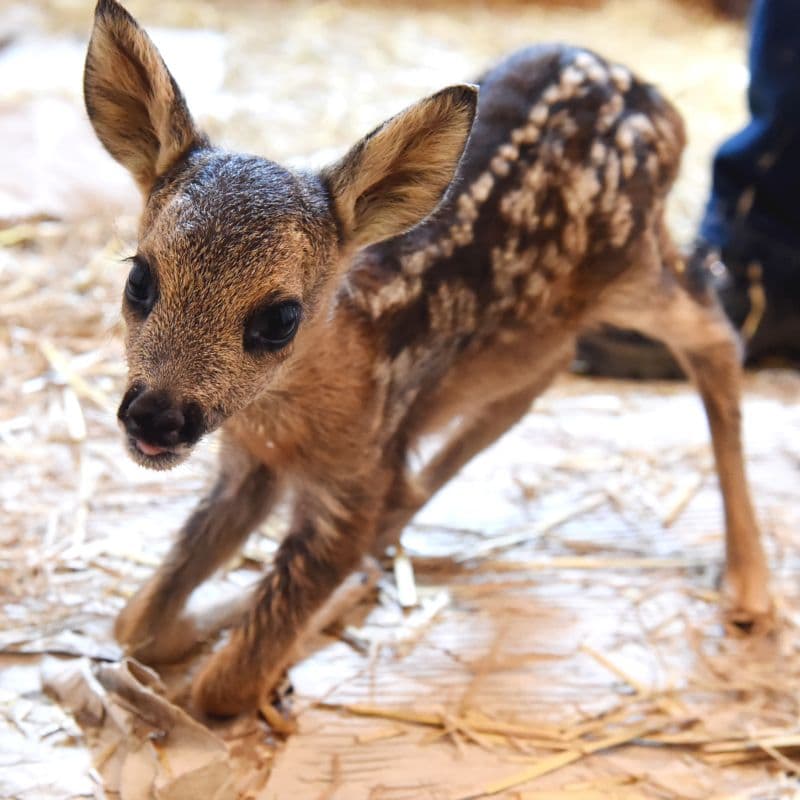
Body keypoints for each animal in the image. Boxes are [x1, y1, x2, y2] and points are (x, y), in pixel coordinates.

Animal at [86, 0, 768, 716]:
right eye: (139, 279)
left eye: (279, 319)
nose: (156, 418)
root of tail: (653, 97)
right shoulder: (248, 463)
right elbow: (138, 622)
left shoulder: (353, 480)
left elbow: (225, 684)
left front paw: (333, 598)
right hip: (552, 318)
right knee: (540, 375)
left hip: (632, 261)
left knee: (717, 335)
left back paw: (750, 586)